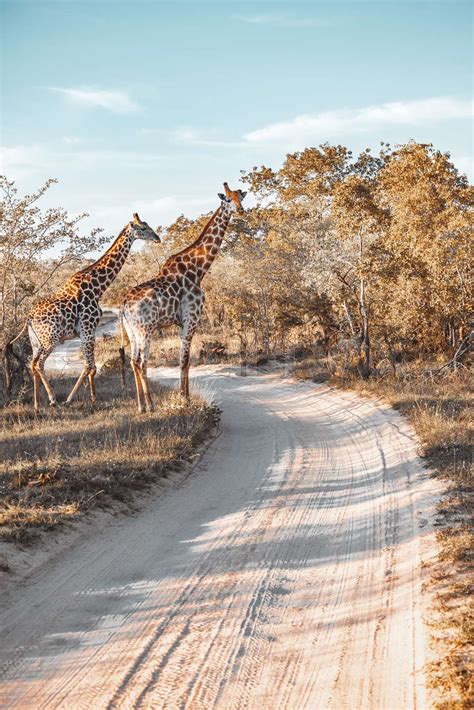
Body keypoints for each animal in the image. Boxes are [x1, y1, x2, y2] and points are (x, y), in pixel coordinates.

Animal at [23, 211, 161, 412]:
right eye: (143, 228)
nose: (157, 238)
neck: (98, 288)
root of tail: (30, 318)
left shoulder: (86, 331)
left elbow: (91, 366)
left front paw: (93, 398)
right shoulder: (88, 328)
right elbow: (89, 366)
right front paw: (73, 399)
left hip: (35, 341)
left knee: (32, 364)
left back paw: (36, 404)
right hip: (51, 339)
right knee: (40, 364)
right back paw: (53, 399)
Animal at [120, 184, 246, 414]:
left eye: (240, 197)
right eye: (227, 200)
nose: (240, 210)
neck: (197, 270)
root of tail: (124, 306)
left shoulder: (181, 323)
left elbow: (184, 360)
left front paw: (184, 396)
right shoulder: (191, 318)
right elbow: (185, 360)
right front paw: (184, 399)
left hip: (131, 330)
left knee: (133, 361)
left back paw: (141, 406)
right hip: (145, 329)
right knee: (142, 362)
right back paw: (151, 405)